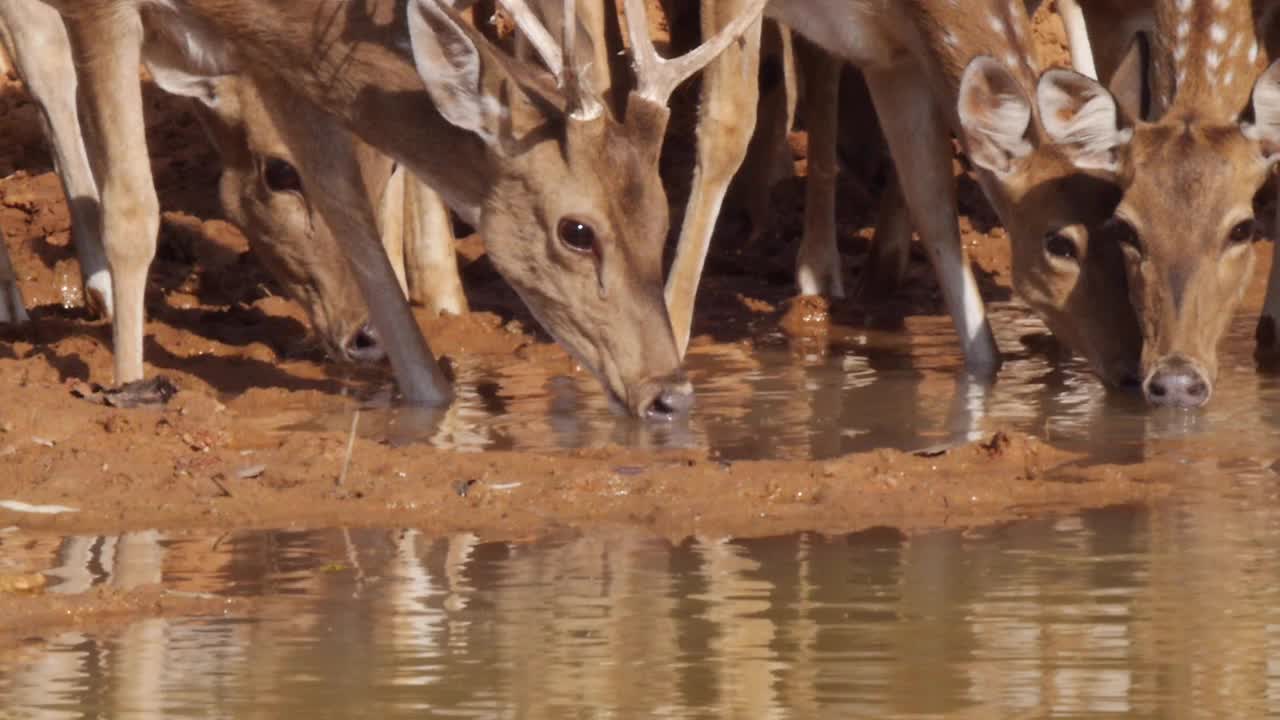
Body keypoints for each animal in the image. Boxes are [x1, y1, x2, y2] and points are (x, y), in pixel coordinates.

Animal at [37, 0, 757, 417]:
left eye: (661, 217)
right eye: (577, 230)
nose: (670, 394)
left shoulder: (265, 48)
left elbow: (342, 196)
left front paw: (428, 395)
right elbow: (133, 209)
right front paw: (131, 386)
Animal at [675, 0, 1146, 386]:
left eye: (1129, 235)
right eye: (1060, 243)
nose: (1129, 369)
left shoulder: (889, 55)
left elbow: (932, 199)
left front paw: (983, 370)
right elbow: (727, 124)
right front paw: (672, 346)